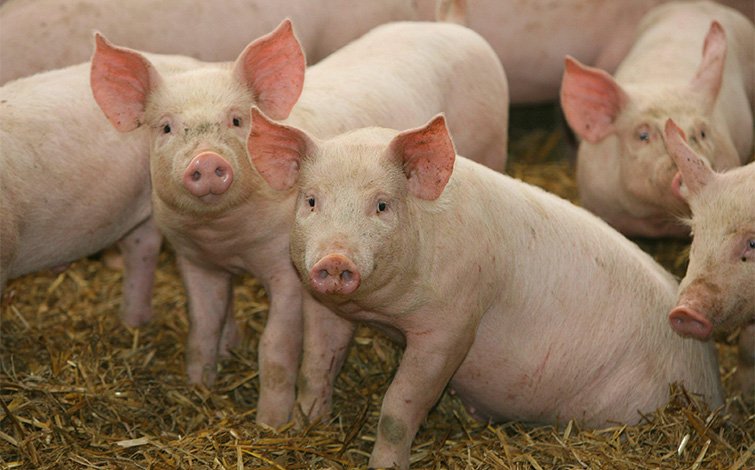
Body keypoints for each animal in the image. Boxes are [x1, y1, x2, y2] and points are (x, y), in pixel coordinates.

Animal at [89, 19, 509, 426]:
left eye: (237, 120)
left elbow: (275, 346)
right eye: (165, 127)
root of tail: (452, 26)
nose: (207, 160)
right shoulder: (195, 260)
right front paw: (199, 388)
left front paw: (271, 424)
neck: (226, 237)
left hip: (492, 145)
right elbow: (202, 328)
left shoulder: (288, 269)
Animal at [248, 110, 723, 469]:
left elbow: (399, 407)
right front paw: (305, 426)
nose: (335, 260)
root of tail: (713, 382)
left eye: (382, 205)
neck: (382, 313)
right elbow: (316, 368)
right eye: (311, 200)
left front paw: (383, 464)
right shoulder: (326, 306)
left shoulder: (452, 326)